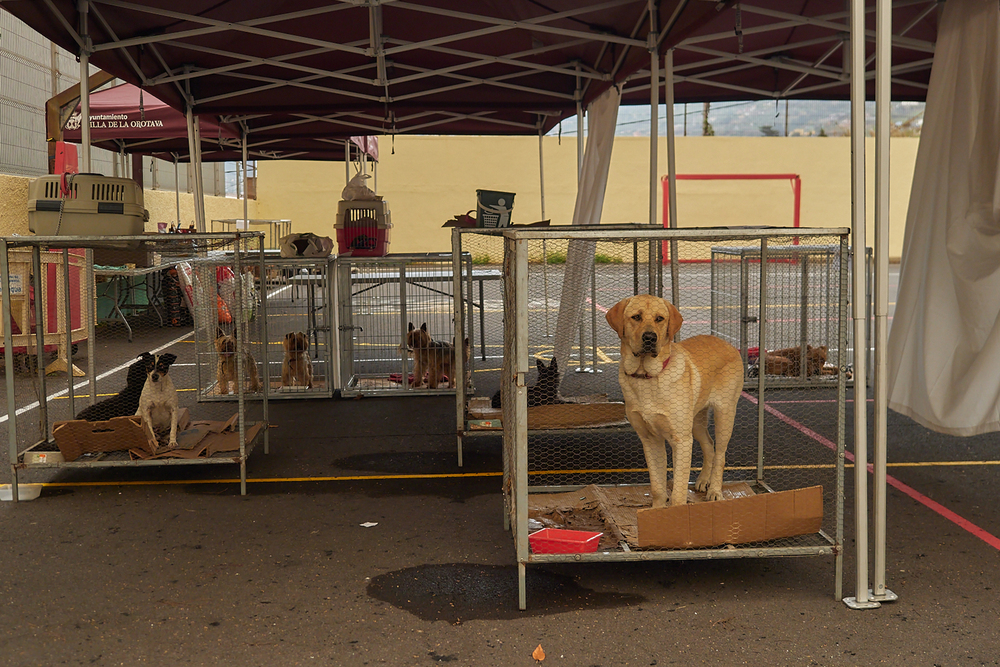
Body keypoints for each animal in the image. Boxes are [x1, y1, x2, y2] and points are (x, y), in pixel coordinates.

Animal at [600, 294, 744, 508]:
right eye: (636, 317)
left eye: (660, 319)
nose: (650, 338)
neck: (648, 376)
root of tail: (727, 343)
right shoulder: (650, 440)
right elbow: (657, 488)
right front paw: (656, 511)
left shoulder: (681, 440)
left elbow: (677, 492)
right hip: (696, 422)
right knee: (709, 446)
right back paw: (703, 481)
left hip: (724, 415)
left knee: (720, 454)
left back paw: (715, 490)